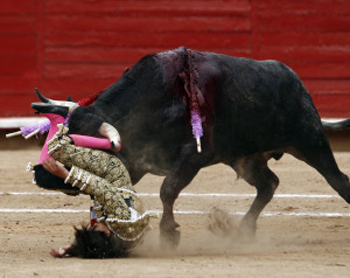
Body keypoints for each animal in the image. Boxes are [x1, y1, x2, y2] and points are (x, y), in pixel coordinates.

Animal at [30, 46, 350, 247]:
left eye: (80, 143)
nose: (41, 172)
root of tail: (296, 80)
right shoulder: (141, 159)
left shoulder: (193, 157)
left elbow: (168, 190)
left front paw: (169, 234)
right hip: (245, 159)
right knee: (268, 184)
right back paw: (244, 230)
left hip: (310, 140)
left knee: (338, 180)